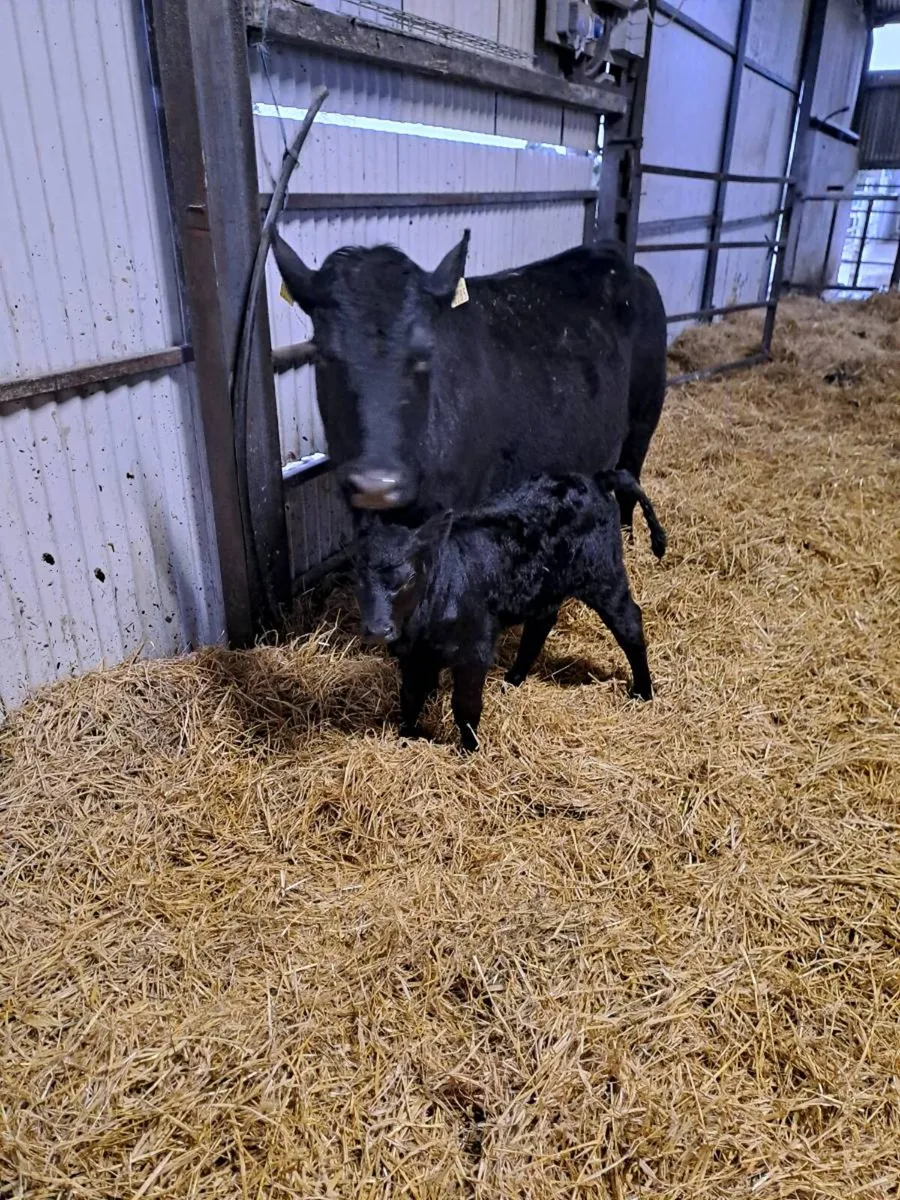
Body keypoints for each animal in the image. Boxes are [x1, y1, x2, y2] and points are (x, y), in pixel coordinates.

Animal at [355, 468, 667, 752]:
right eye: (357, 578)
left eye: (408, 578)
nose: (378, 630)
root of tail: (595, 478)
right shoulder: (412, 655)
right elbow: (410, 696)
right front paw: (406, 735)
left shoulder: (475, 650)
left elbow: (465, 705)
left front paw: (470, 750)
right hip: (546, 586)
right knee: (539, 626)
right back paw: (513, 679)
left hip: (603, 574)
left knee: (629, 623)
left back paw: (643, 691)